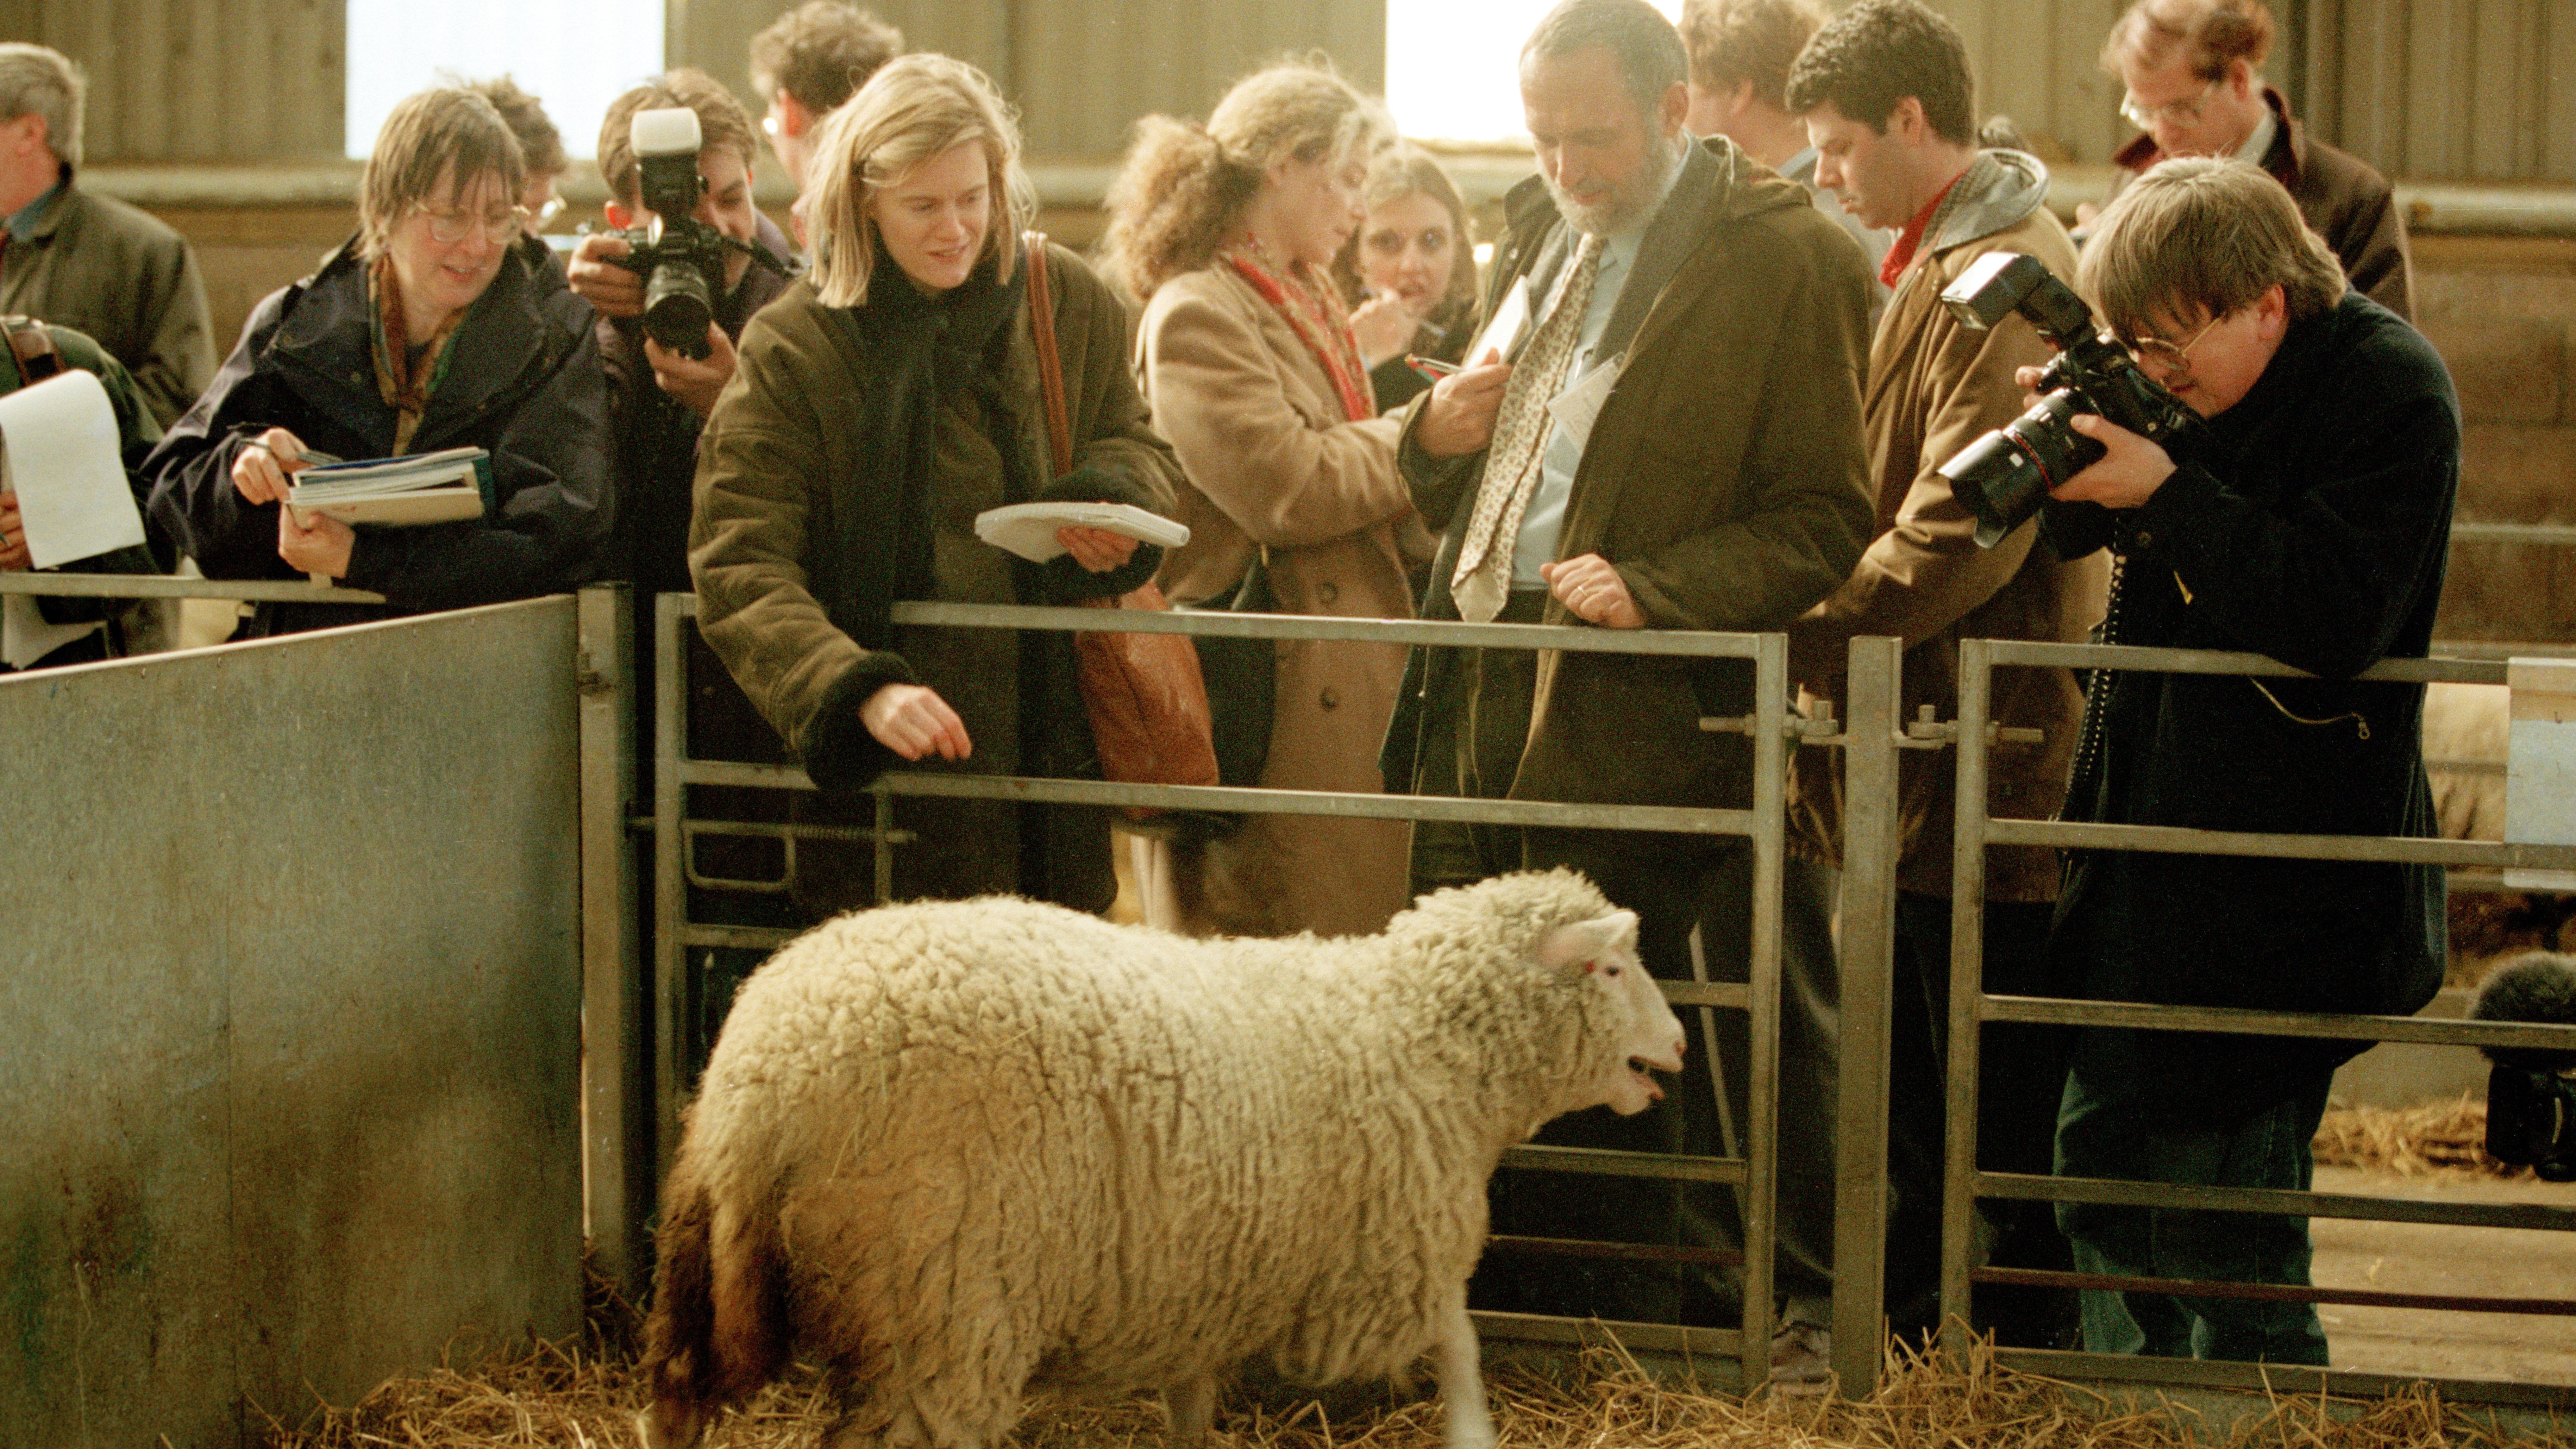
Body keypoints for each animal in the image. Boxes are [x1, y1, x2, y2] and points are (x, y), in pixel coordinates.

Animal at [639, 866, 1690, 1444]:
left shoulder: (1207, 1270)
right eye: (1610, 967)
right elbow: (1462, 1341)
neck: (1417, 1033)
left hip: (705, 1269)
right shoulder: (1380, 1259)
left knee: (676, 1401)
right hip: (936, 1299)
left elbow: (1192, 1394)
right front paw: (1474, 1430)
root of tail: (768, 1078)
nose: (1677, 1045)